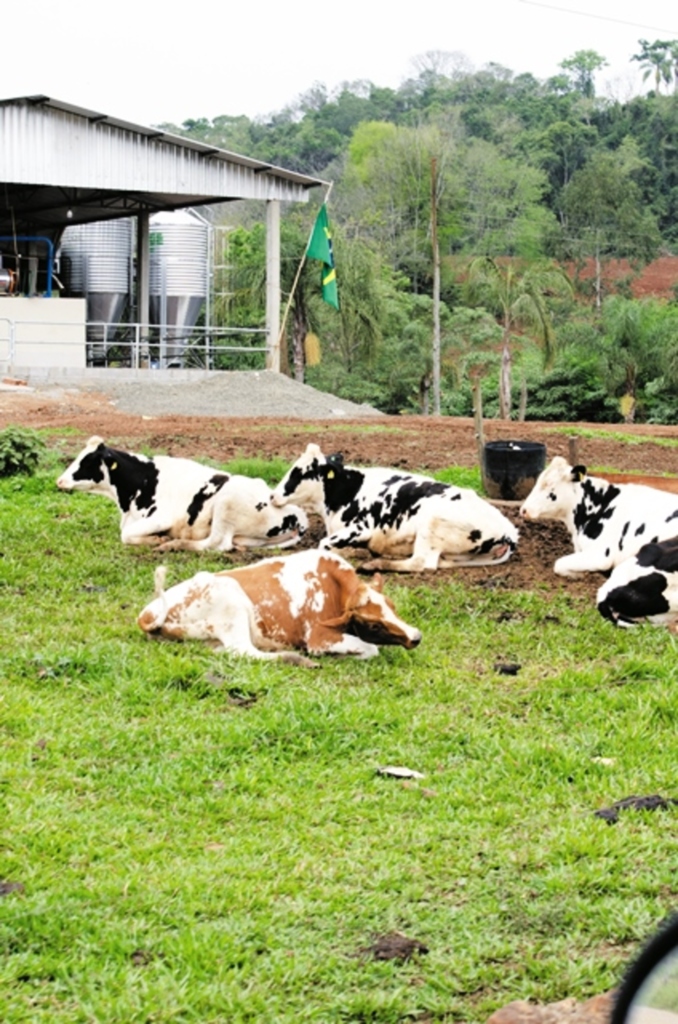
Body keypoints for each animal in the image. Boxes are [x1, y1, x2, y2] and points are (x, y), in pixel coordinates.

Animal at [57, 438, 309, 557]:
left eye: (88, 461)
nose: (59, 480)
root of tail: (298, 514)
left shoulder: (162, 518)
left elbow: (126, 535)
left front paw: (156, 540)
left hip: (226, 503)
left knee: (216, 543)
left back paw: (172, 544)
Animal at [137, 548, 421, 659]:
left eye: (392, 607)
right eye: (373, 624)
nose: (416, 637)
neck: (334, 588)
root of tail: (147, 614)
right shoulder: (319, 638)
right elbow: (371, 649)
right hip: (232, 604)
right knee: (243, 651)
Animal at [268, 440, 518, 573]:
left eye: (300, 472)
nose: (272, 495)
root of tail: (510, 531)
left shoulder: (361, 528)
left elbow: (323, 544)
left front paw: (352, 552)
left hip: (432, 525)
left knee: (421, 562)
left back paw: (374, 563)